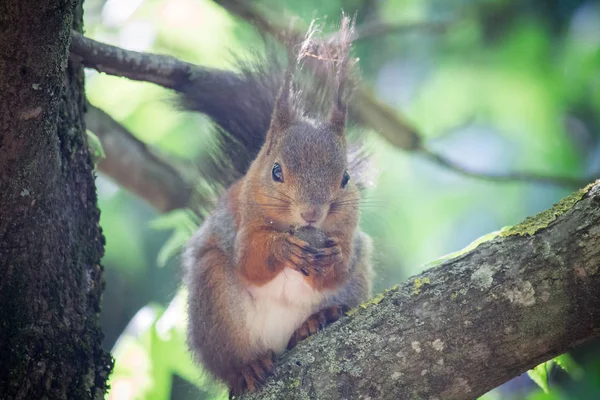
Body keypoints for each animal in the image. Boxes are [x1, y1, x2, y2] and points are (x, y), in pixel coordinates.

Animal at [180, 16, 372, 396]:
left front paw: (333, 257)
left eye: (345, 178)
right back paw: (247, 368)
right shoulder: (243, 218)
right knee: (232, 359)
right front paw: (282, 248)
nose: (312, 213)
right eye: (276, 171)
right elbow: (250, 260)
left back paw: (316, 321)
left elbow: (340, 265)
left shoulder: (349, 229)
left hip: (357, 283)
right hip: (215, 303)